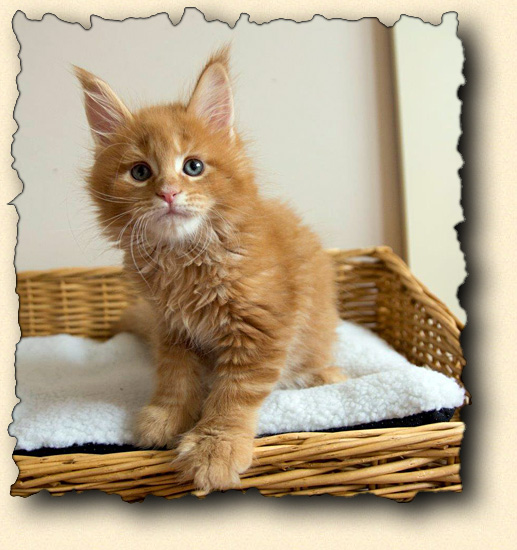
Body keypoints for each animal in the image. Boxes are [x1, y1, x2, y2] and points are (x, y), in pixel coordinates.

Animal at [75, 48, 345, 493]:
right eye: (140, 172)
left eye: (193, 167)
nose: (168, 193)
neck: (185, 259)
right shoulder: (171, 329)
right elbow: (175, 378)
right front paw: (167, 417)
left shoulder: (260, 329)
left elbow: (233, 395)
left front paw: (216, 448)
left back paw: (327, 376)